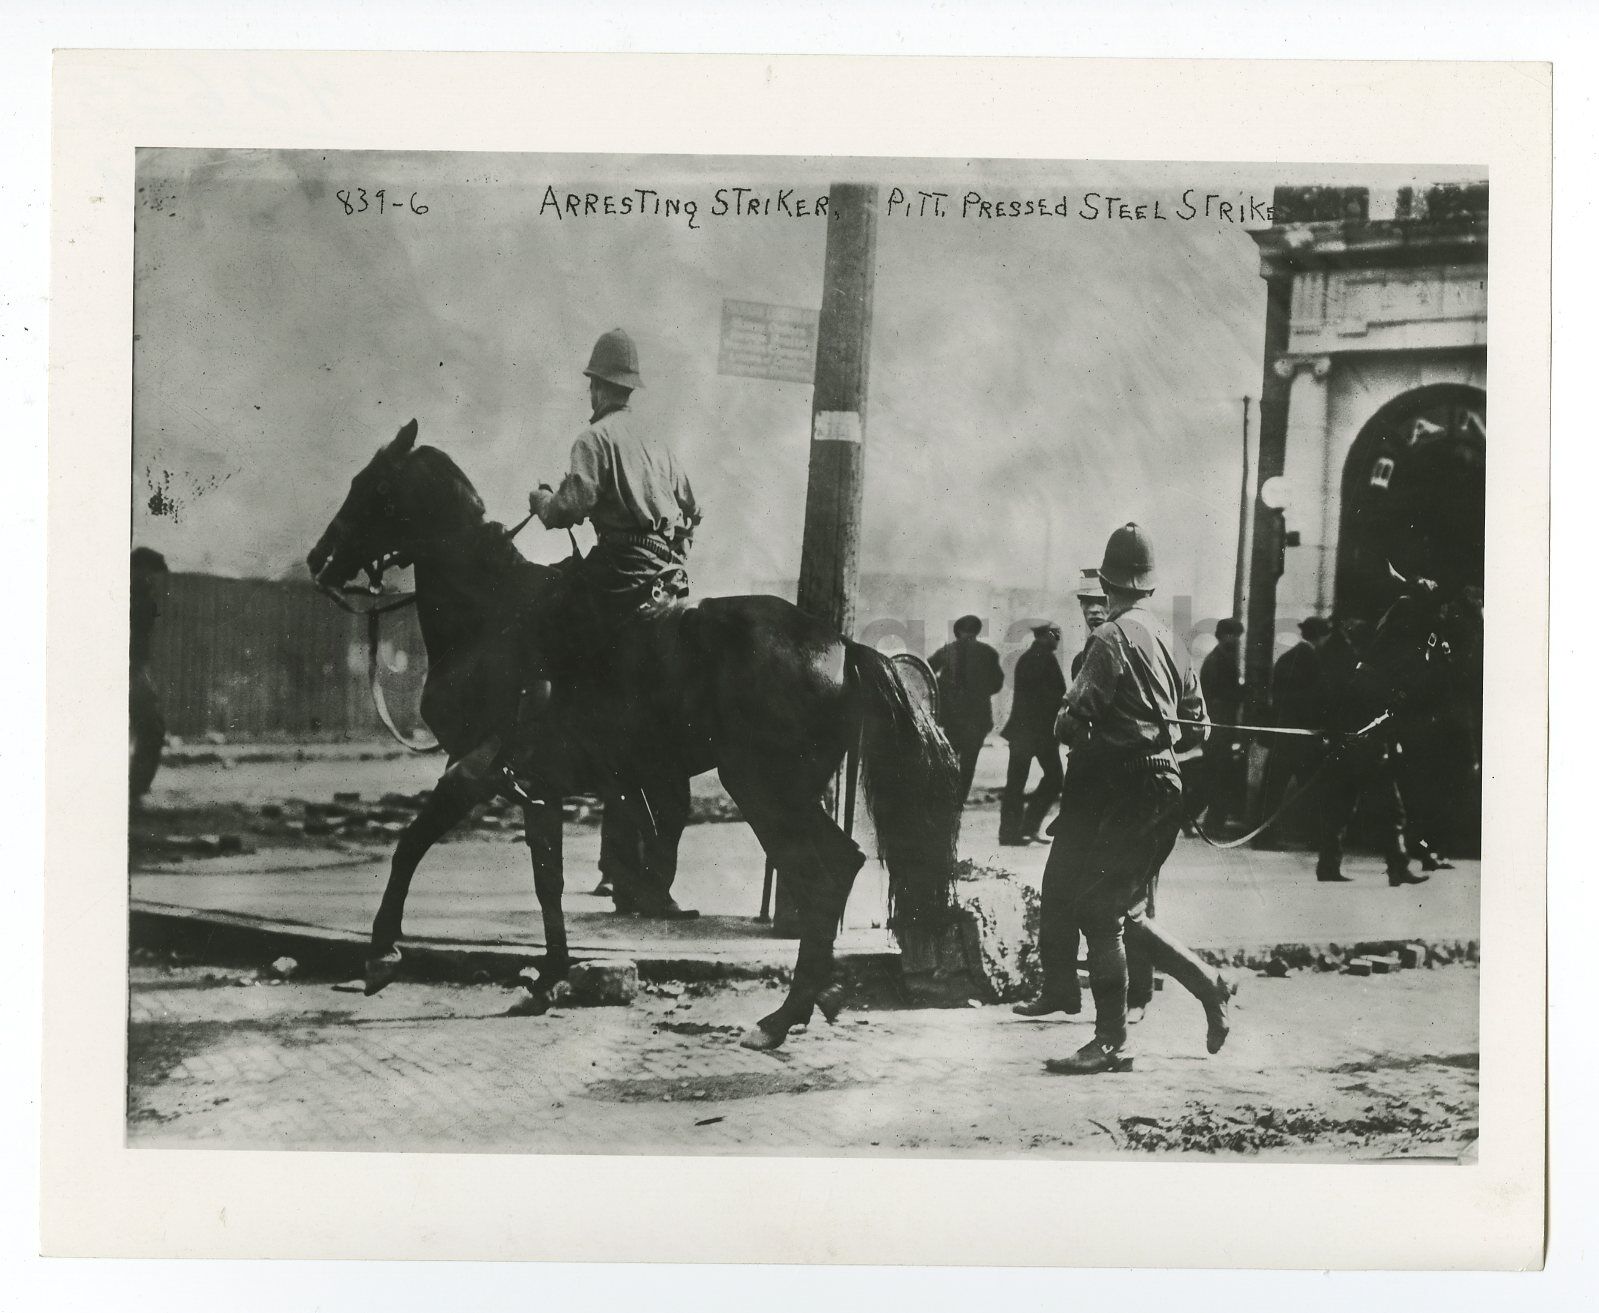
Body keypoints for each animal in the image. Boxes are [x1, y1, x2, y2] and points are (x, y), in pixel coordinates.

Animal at [308, 425, 959, 1049]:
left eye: (371, 487)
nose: (319, 560)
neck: (492, 617)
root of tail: (841, 645)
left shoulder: (474, 770)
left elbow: (411, 845)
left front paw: (382, 954)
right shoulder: (537, 788)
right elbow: (547, 880)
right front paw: (547, 980)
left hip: (764, 788)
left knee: (825, 871)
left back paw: (782, 1016)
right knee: (835, 867)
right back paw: (813, 999)